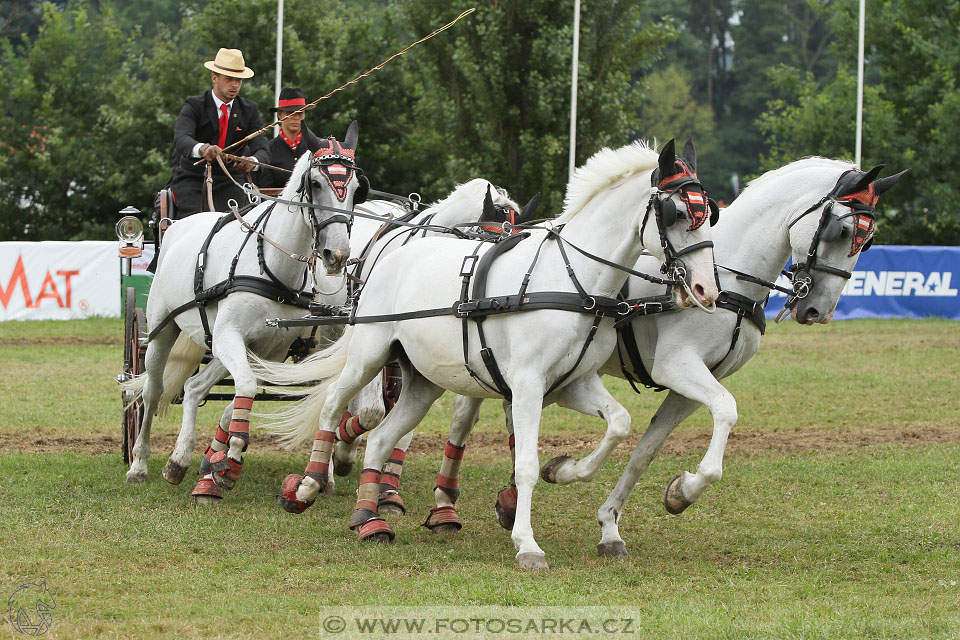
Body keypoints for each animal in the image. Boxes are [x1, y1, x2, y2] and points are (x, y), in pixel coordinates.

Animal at [125, 122, 366, 498]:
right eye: (314, 184)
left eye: (356, 190)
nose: (336, 255)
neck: (270, 264)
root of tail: (178, 225)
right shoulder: (229, 335)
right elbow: (247, 388)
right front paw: (231, 457)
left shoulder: (270, 350)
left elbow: (240, 394)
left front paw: (221, 457)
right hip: (163, 330)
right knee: (152, 390)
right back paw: (139, 463)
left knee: (195, 387)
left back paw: (180, 460)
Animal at [255, 138, 720, 568]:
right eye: (677, 215)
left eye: (708, 214)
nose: (706, 289)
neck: (572, 280)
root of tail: (388, 253)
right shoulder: (529, 384)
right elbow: (526, 463)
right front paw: (528, 544)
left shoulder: (572, 384)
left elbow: (619, 424)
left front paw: (564, 470)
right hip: (369, 355)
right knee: (335, 404)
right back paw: (310, 485)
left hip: (423, 382)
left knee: (384, 437)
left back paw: (370, 520)